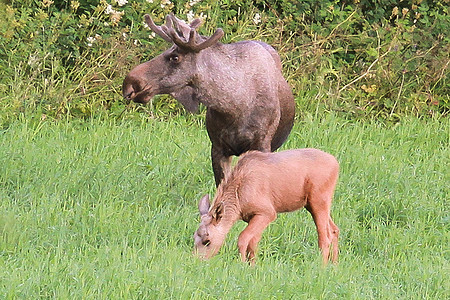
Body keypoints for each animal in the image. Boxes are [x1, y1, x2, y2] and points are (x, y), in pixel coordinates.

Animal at [192, 149, 340, 264]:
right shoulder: (254, 216)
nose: (197, 261)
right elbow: (253, 243)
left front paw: (242, 264)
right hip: (313, 204)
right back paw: (334, 265)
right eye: (194, 237)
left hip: (318, 200)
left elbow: (243, 238)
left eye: (207, 241)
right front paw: (252, 265)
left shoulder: (267, 212)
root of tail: (336, 164)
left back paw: (322, 268)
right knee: (334, 230)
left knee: (324, 238)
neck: (238, 202)